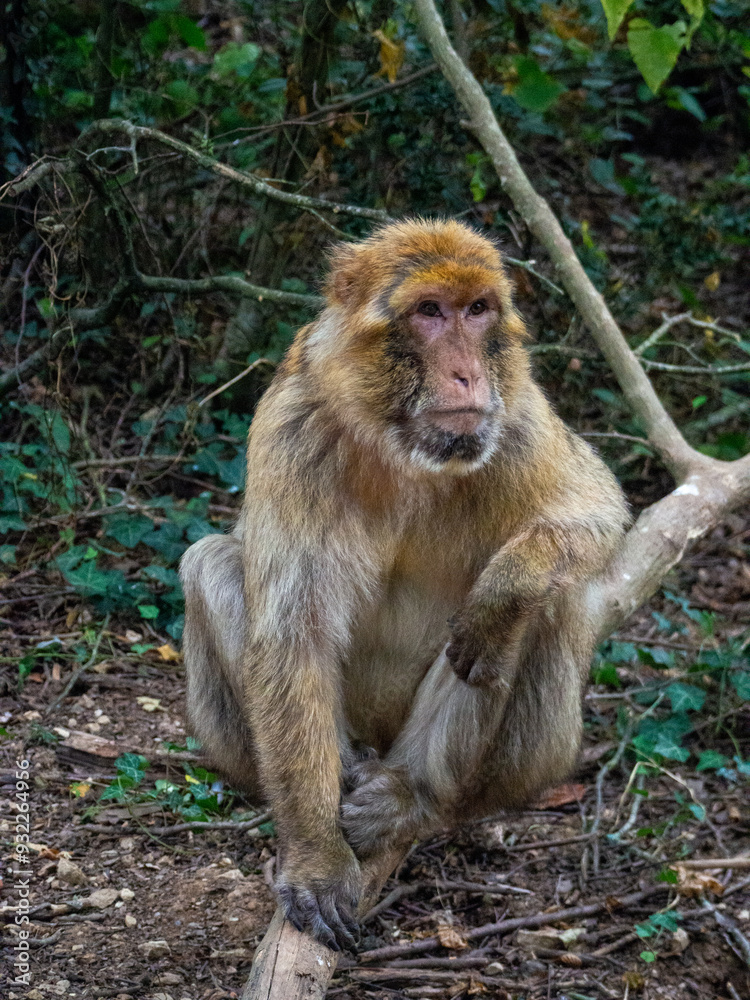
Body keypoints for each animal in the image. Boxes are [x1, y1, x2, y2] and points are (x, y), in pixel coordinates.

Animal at [179, 218, 629, 953]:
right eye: (430, 312)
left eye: (477, 310)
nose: (467, 372)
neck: (400, 447)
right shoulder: (293, 430)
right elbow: (294, 638)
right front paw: (316, 856)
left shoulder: (516, 413)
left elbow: (595, 509)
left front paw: (505, 591)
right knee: (209, 561)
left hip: (518, 768)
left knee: (552, 603)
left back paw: (411, 797)